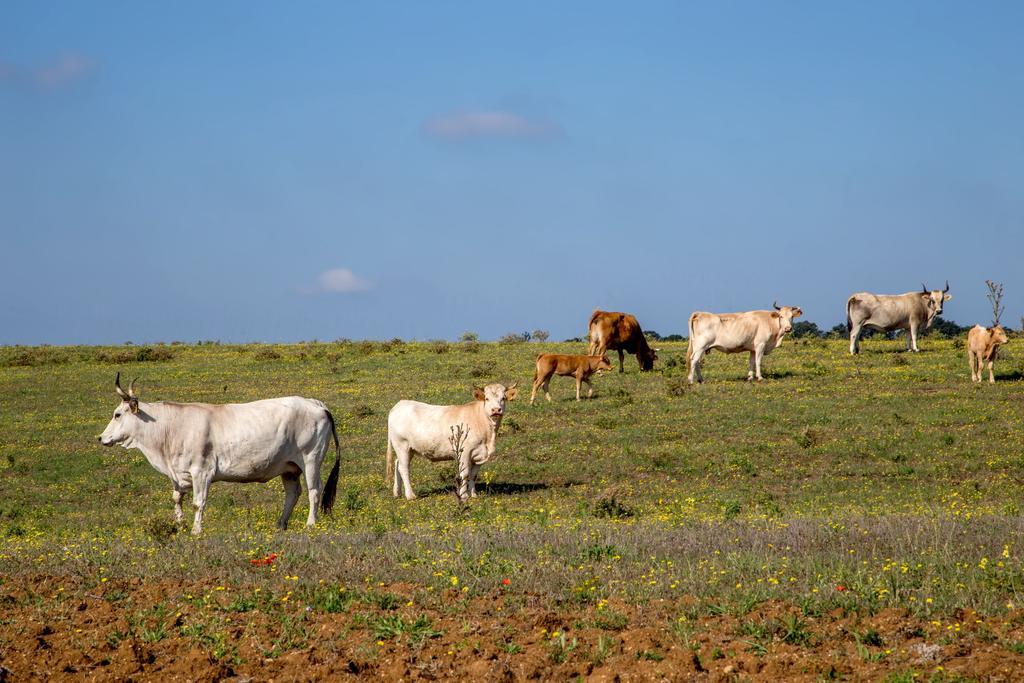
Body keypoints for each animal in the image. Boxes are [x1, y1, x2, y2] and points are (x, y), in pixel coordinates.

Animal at [97, 374, 342, 532]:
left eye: (117, 414)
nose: (101, 438)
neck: (170, 429)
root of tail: (315, 403)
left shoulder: (201, 472)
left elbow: (198, 502)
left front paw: (195, 530)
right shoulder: (178, 474)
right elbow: (177, 498)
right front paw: (180, 524)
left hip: (310, 459)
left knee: (314, 490)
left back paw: (310, 524)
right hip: (289, 468)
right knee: (293, 493)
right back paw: (281, 524)